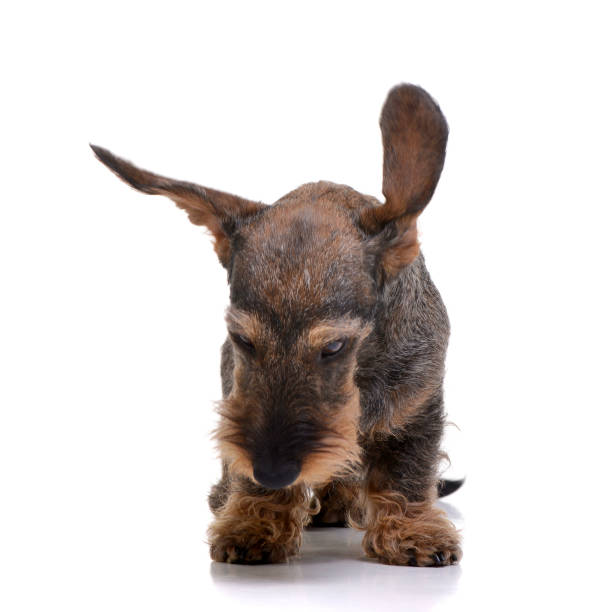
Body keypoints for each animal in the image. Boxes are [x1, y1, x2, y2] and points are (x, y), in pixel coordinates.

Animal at [91, 83, 462, 568]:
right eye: (242, 339)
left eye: (333, 347)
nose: (272, 471)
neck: (362, 374)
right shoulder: (238, 396)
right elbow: (243, 460)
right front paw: (255, 520)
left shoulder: (417, 407)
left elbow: (406, 472)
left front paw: (412, 530)